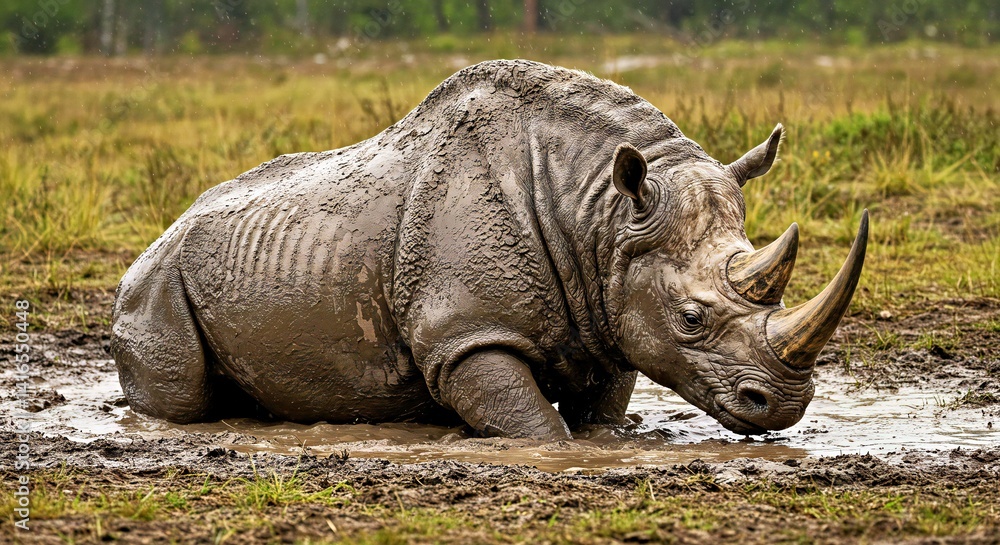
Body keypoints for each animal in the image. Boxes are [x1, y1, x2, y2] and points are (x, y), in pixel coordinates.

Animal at [111, 60, 868, 440]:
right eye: (691, 317)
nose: (785, 404)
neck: (599, 212)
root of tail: (158, 236)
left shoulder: (610, 308)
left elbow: (601, 418)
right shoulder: (465, 334)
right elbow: (540, 433)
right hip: (155, 282)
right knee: (177, 392)